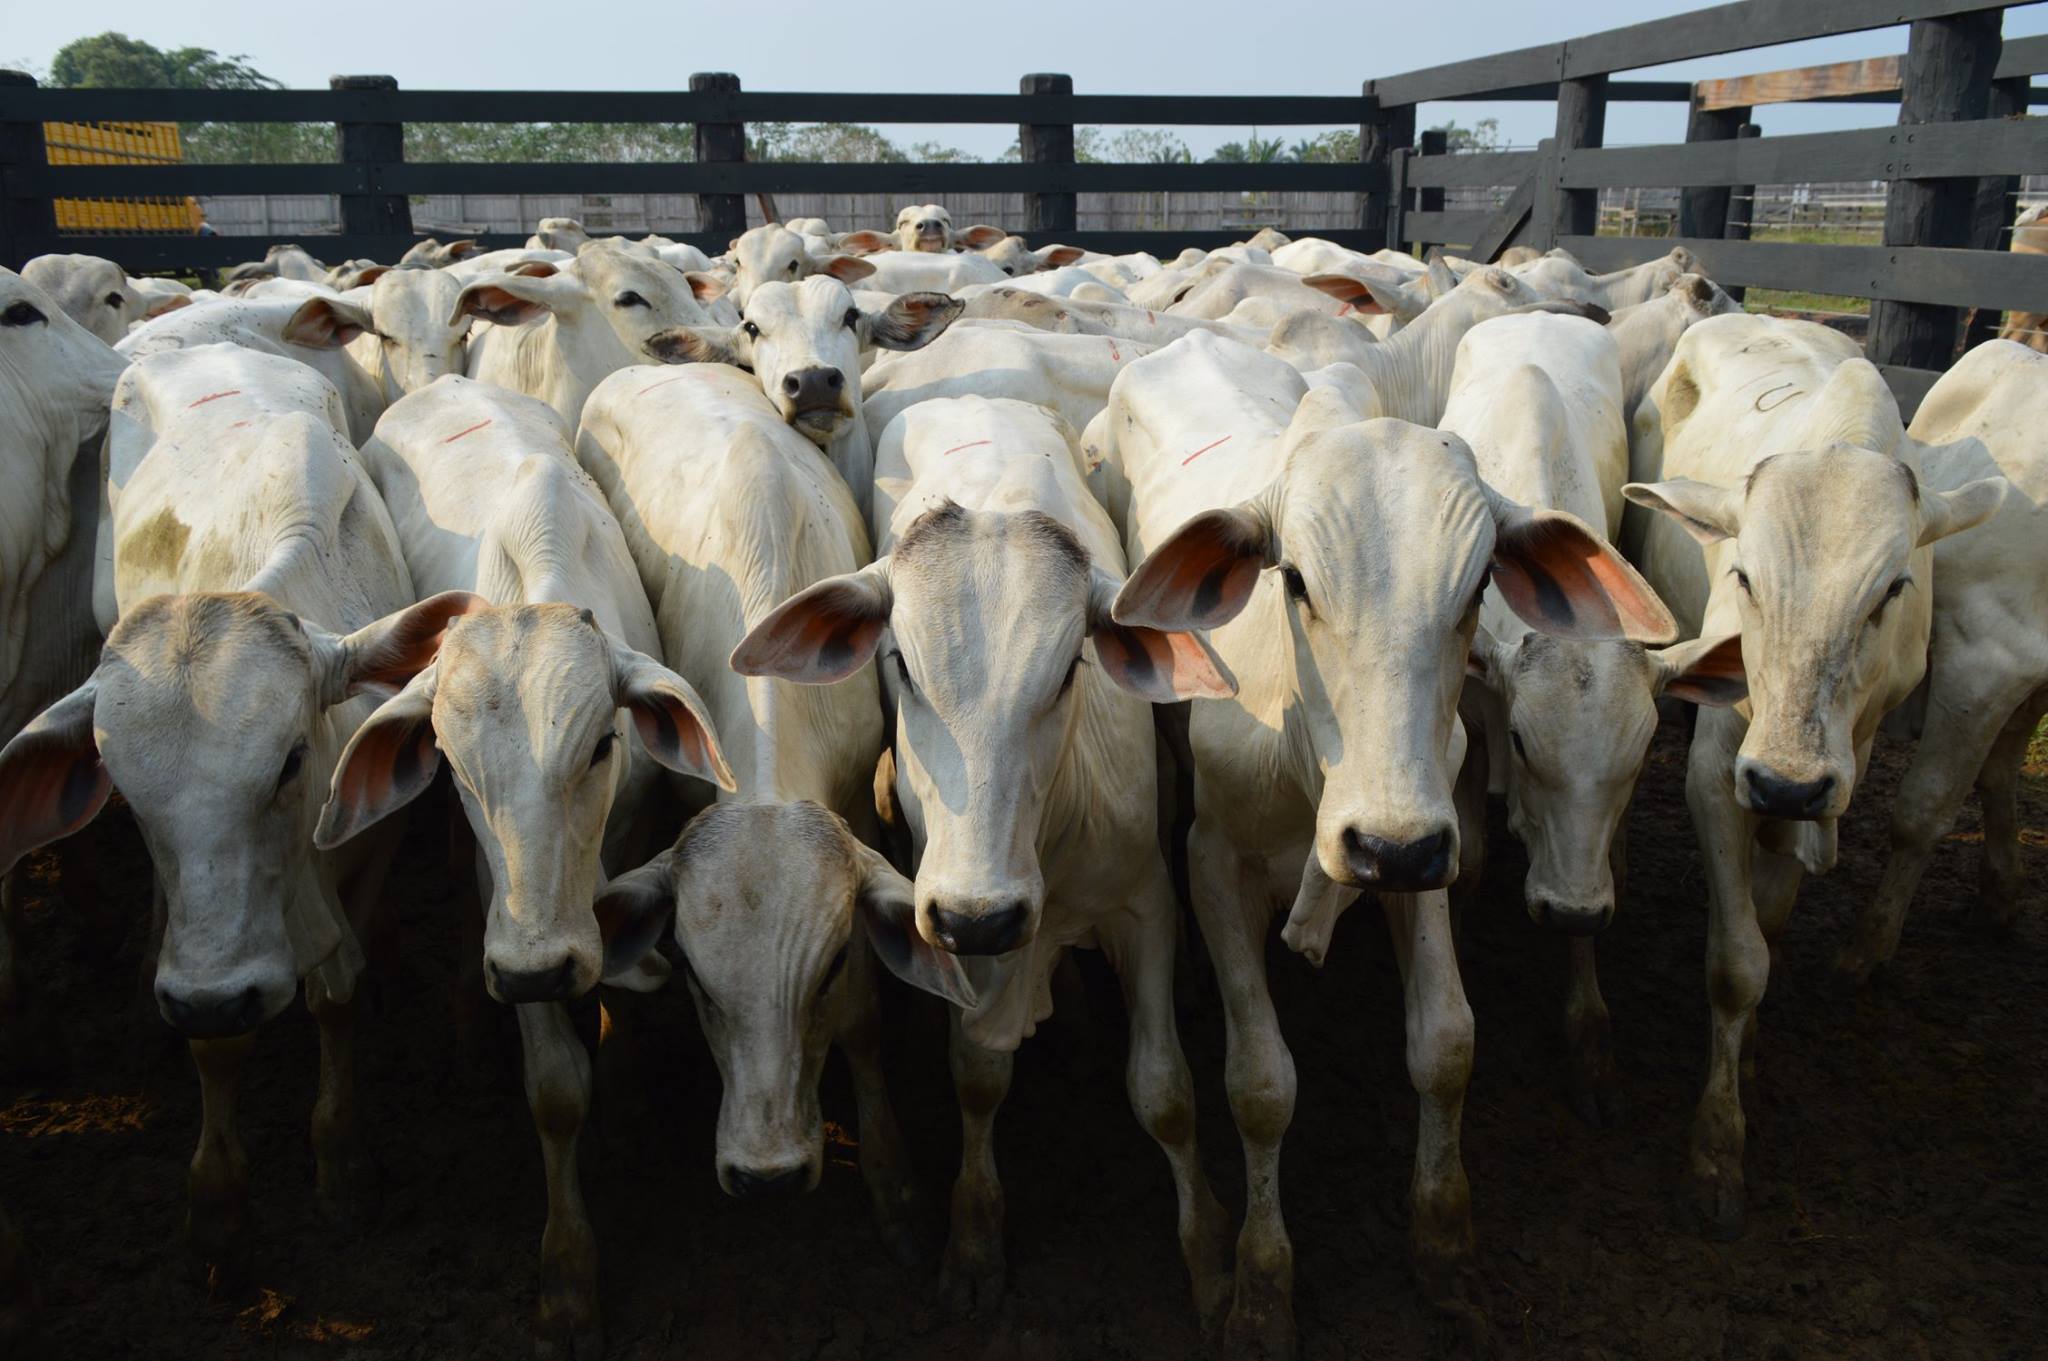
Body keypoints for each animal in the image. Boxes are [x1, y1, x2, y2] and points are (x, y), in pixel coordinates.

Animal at [0, 339, 471, 1277]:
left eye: (289, 760)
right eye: (125, 787)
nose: (214, 996)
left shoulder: (373, 840)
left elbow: (337, 990)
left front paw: (341, 1161)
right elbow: (217, 1045)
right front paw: (217, 1199)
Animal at [737, 399, 1228, 1318]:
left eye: (1069, 669)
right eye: (902, 665)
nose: (984, 912)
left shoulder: (1143, 901)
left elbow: (1167, 1094)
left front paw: (1213, 1262)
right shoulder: (950, 930)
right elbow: (975, 1076)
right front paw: (971, 1241)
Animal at [1097, 327, 1671, 1350]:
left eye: (1480, 584)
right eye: (1292, 579)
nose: (1380, 846)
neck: (1312, 762)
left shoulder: (1429, 844)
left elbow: (1444, 1042)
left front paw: (1442, 1246)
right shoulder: (1212, 864)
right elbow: (1260, 1086)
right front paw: (1261, 1284)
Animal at [1613, 315, 1998, 1227]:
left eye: (1892, 588)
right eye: (1744, 575)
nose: (1785, 783)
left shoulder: (1835, 767)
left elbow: (1774, 920)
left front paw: (1749, 1055)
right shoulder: (1722, 768)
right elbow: (1736, 962)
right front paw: (1717, 1146)